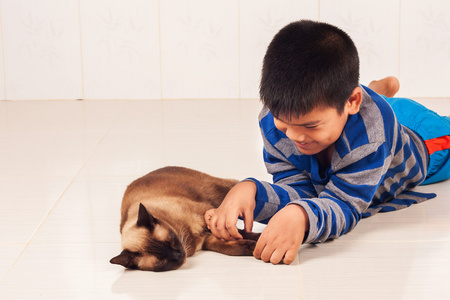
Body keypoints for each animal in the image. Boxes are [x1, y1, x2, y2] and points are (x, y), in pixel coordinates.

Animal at [108, 166, 260, 272]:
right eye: (162, 261)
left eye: (170, 240)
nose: (179, 255)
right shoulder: (208, 240)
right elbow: (233, 247)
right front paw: (255, 247)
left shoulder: (208, 220)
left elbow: (241, 233)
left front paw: (260, 239)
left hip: (222, 193)